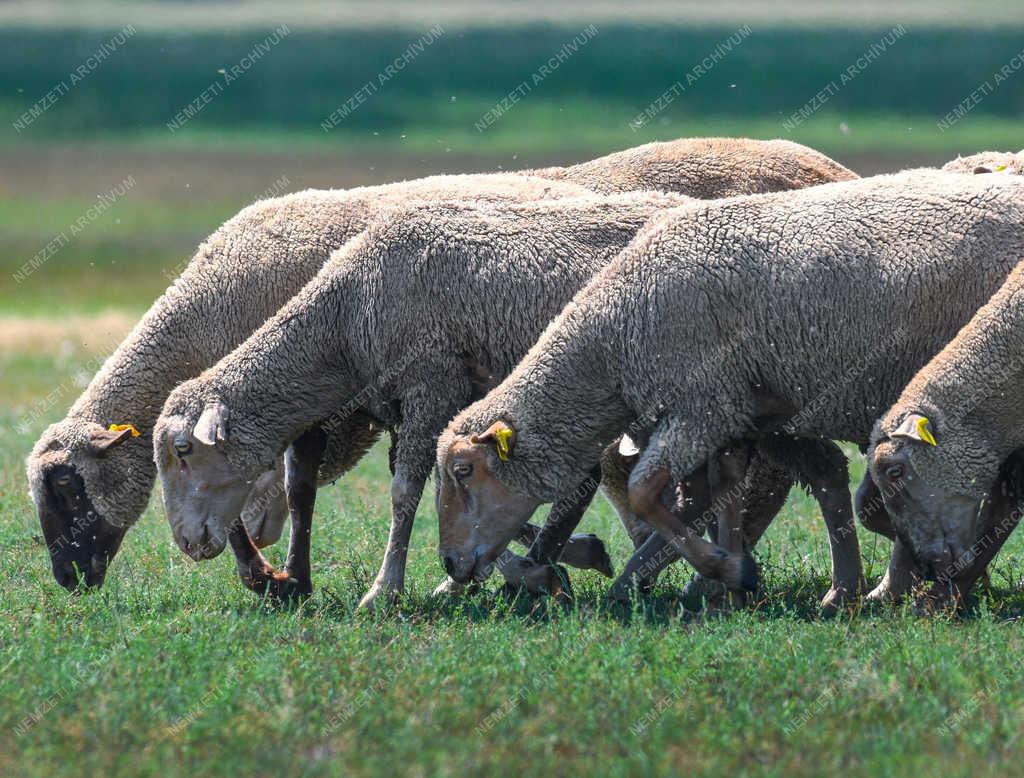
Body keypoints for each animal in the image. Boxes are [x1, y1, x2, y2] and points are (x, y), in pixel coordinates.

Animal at [25, 137, 856, 593]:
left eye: (64, 485)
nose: (65, 579)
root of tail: (830, 167)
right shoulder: (359, 405)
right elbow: (302, 491)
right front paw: (289, 577)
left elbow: (322, 490)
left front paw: (274, 577)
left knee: (758, 476)